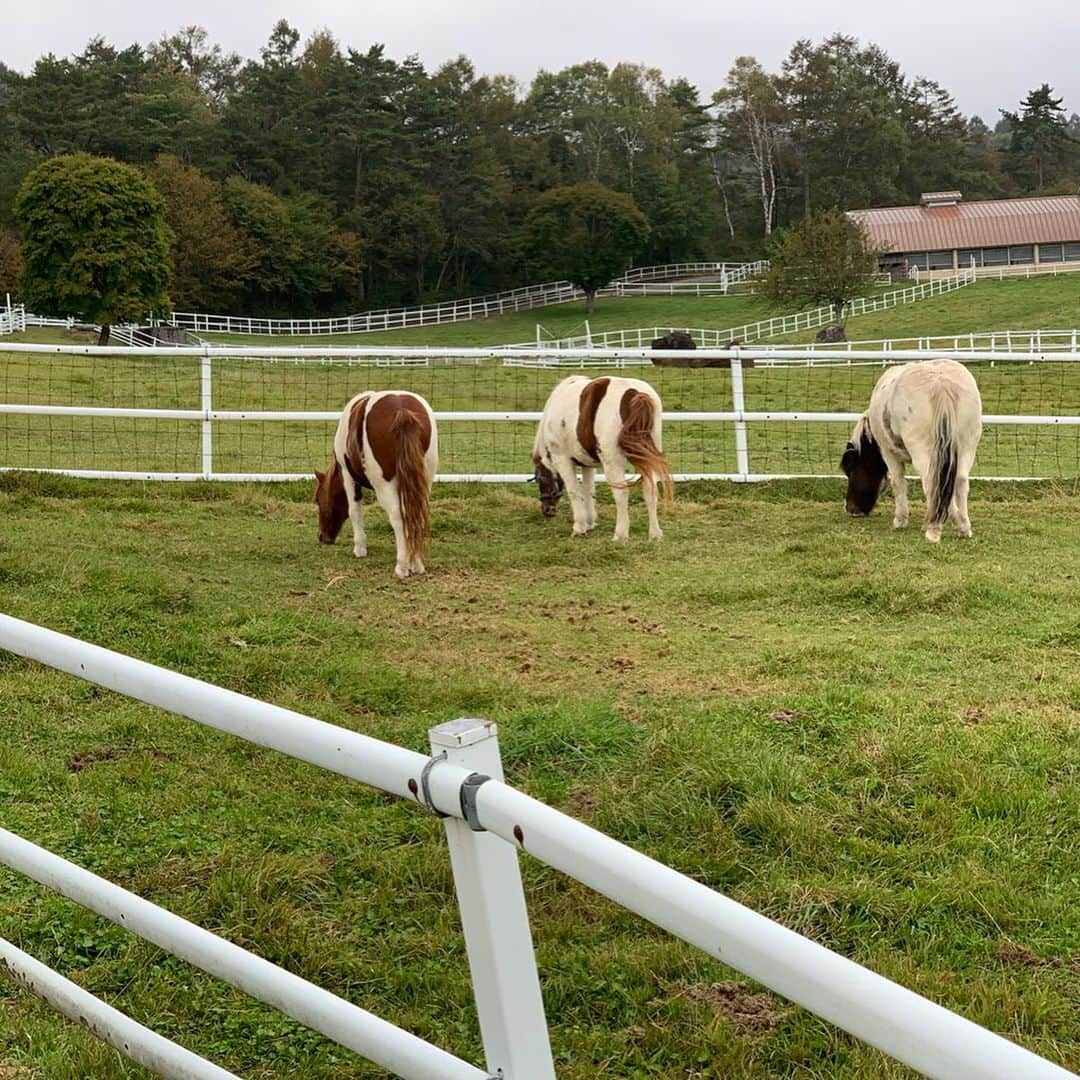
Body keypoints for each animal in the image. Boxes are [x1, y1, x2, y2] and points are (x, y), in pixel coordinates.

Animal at [315, 390, 438, 578]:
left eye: (317, 500)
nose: (322, 537)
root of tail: (402, 412)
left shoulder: (348, 477)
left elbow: (354, 510)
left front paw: (359, 549)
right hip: (424, 482)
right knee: (418, 515)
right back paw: (416, 564)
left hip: (384, 486)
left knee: (398, 516)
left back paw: (402, 567)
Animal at [529, 375, 669, 540]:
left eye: (540, 479)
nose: (547, 510)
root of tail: (635, 393)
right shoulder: (588, 465)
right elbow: (589, 491)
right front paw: (589, 523)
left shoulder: (562, 460)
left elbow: (574, 492)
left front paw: (579, 527)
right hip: (646, 457)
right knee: (650, 490)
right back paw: (655, 534)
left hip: (613, 463)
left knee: (621, 493)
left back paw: (620, 535)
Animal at [838, 356, 984, 540]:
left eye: (850, 470)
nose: (851, 509)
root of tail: (941, 382)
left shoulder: (888, 453)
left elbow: (898, 483)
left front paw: (900, 521)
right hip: (967, 446)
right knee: (960, 481)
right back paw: (963, 526)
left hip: (922, 450)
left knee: (932, 483)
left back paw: (935, 528)